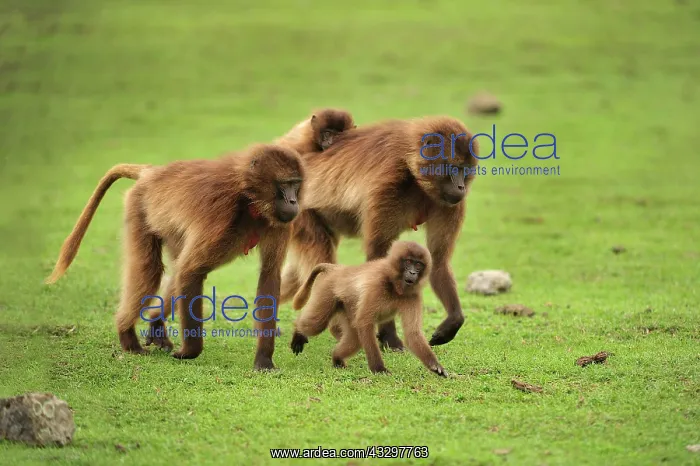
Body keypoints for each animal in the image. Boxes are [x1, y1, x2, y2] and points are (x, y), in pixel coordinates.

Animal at [45, 143, 304, 369]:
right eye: (285, 184)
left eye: (296, 185)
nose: (294, 201)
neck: (250, 200)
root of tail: (152, 172)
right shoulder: (221, 215)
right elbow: (190, 271)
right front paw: (189, 352)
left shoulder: (281, 224)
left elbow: (269, 276)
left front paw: (264, 360)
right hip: (140, 207)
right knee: (152, 270)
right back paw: (127, 337)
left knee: (178, 268)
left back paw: (155, 322)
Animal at [279, 116, 479, 352]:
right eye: (454, 168)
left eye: (465, 170)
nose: (461, 187)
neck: (415, 176)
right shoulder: (388, 184)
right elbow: (379, 258)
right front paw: (390, 338)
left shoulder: (450, 204)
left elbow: (438, 260)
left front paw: (452, 323)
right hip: (300, 214)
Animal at [289, 241, 446, 377]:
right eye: (408, 262)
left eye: (418, 265)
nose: (413, 273)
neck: (393, 286)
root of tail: (338, 270)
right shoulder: (376, 285)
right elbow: (365, 323)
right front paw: (379, 369)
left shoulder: (412, 295)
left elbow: (412, 333)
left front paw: (435, 366)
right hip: (327, 291)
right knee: (317, 324)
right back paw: (298, 331)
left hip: (347, 306)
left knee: (354, 338)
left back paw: (337, 359)